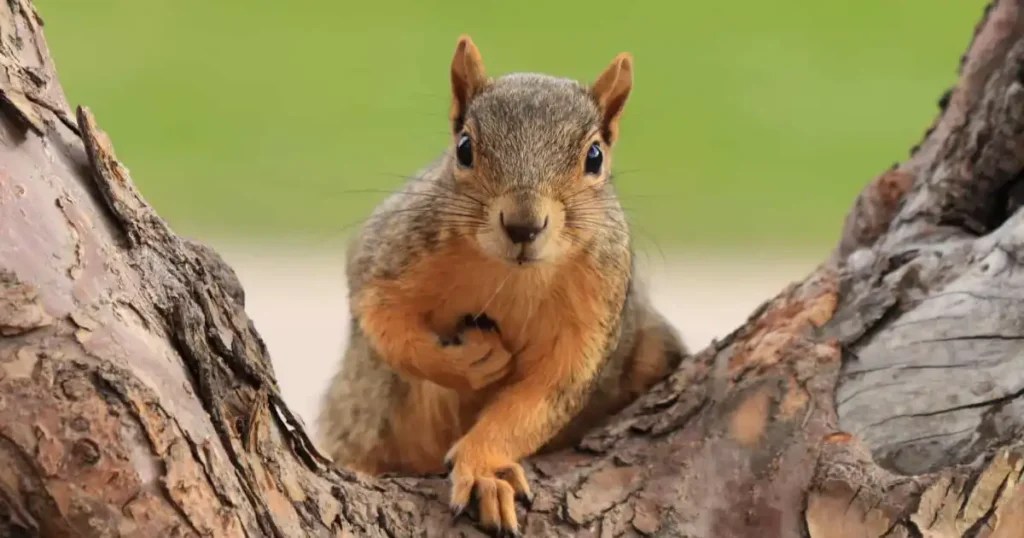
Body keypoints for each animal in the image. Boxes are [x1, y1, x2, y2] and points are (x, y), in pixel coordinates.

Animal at [316, 35, 687, 536]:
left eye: (595, 158)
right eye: (464, 148)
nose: (523, 226)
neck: (511, 276)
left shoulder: (595, 311)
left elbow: (542, 398)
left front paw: (484, 469)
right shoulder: (390, 253)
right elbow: (382, 321)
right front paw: (468, 362)